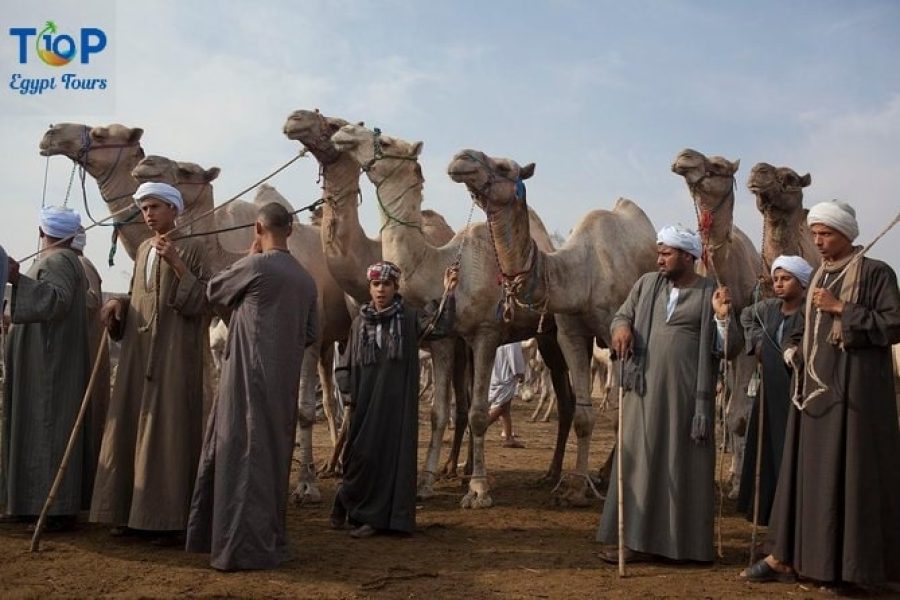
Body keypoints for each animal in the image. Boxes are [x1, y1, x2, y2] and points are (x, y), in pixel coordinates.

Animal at [284, 109, 474, 496]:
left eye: (331, 123)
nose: (294, 118)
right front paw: (338, 467)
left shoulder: (438, 338)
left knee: (465, 401)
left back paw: (456, 468)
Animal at [330, 123, 576, 506]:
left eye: (384, 141)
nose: (344, 131)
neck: (439, 264)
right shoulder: (445, 340)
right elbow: (438, 412)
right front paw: (427, 483)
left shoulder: (486, 334)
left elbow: (477, 412)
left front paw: (478, 490)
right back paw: (545, 474)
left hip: (551, 336)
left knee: (567, 400)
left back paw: (559, 476)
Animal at [446, 149, 656, 502]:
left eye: (504, 167)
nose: (461, 158)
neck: (583, 273)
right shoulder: (570, 332)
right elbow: (583, 414)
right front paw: (576, 487)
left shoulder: (617, 336)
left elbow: (618, 415)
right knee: (570, 402)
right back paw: (558, 475)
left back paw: (607, 473)